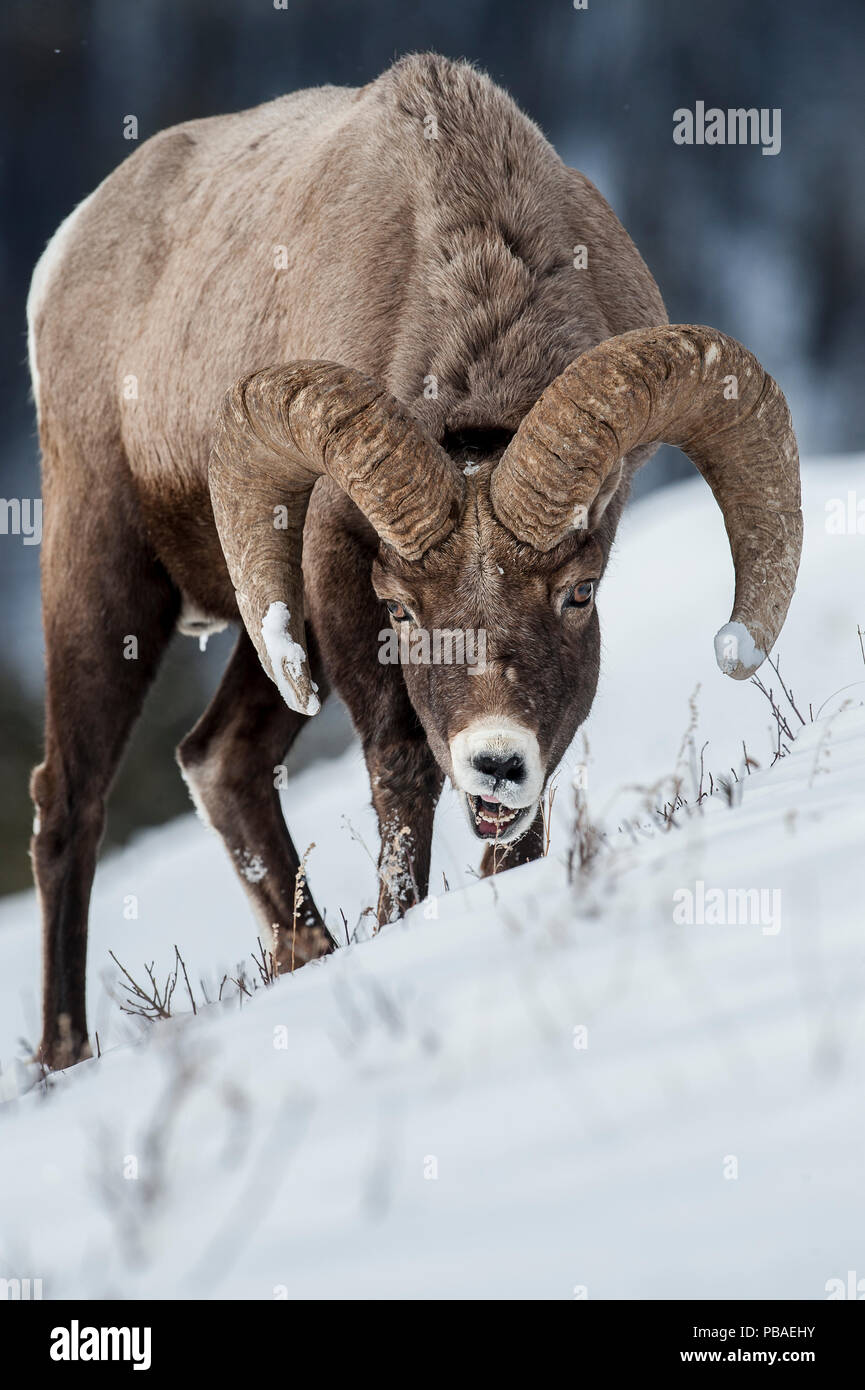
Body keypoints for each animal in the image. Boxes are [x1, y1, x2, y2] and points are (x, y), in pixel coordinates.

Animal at [27, 54, 802, 1069]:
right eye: (399, 609)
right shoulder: (333, 580)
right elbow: (401, 773)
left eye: (578, 594)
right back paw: (64, 1059)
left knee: (218, 759)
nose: (494, 762)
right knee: (68, 805)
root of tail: (71, 247)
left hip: (268, 641)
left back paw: (307, 952)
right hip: (108, 578)